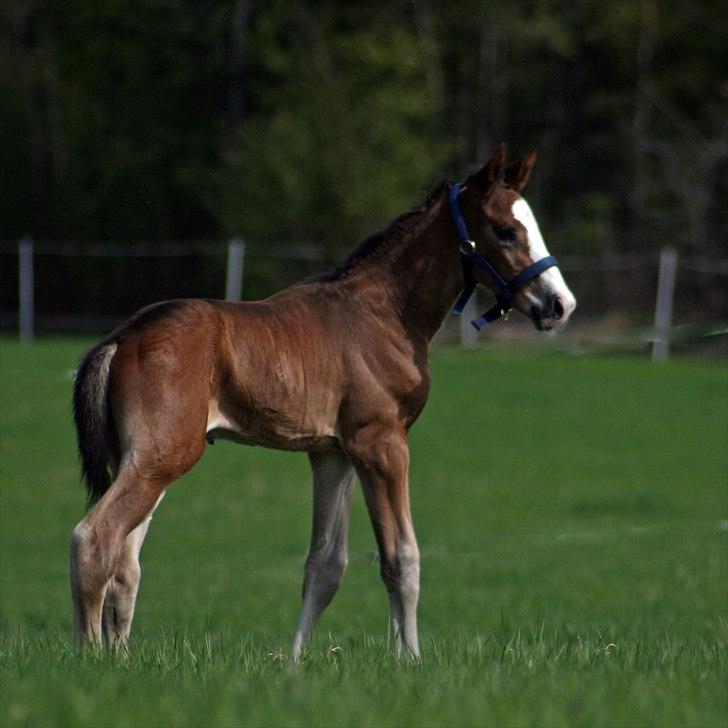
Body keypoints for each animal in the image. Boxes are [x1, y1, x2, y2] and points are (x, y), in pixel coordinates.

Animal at [72, 145, 576, 656]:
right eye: (505, 229)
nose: (561, 305)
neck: (384, 312)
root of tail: (118, 339)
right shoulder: (382, 445)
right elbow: (401, 558)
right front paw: (411, 659)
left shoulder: (333, 454)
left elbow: (326, 565)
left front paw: (294, 661)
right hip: (163, 455)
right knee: (95, 537)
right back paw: (90, 656)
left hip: (142, 459)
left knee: (126, 562)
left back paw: (120, 657)